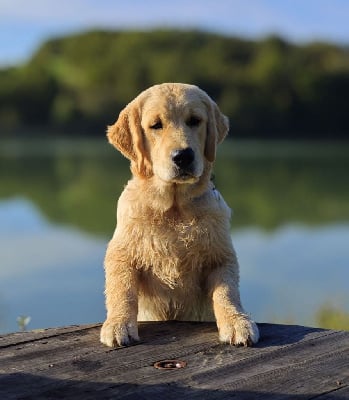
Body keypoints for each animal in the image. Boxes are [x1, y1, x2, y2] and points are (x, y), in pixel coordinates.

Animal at [100, 82, 258, 346]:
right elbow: (122, 290)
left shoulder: (221, 257)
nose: (183, 156)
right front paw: (118, 324)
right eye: (156, 125)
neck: (175, 208)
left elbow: (226, 293)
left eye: (194, 121)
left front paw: (237, 322)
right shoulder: (121, 254)